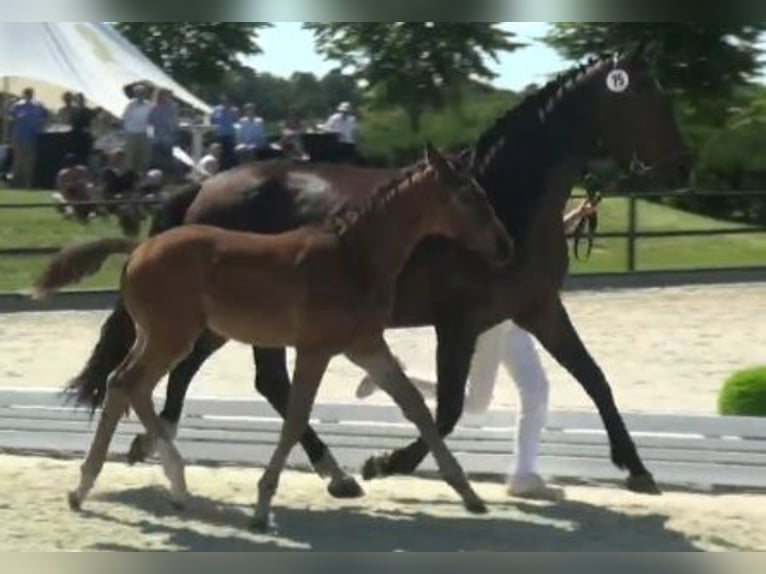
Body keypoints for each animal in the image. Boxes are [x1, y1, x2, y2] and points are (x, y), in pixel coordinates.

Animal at [37, 145, 516, 532]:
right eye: (466, 196)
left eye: (483, 192)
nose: (504, 245)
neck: (353, 257)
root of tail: (139, 248)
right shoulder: (316, 349)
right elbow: (295, 417)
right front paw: (264, 506)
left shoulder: (365, 345)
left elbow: (415, 406)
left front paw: (468, 493)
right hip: (174, 336)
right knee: (130, 383)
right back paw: (154, 480)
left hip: (161, 335)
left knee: (126, 385)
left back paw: (108, 486)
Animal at [60, 47, 692, 500]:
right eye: (650, 98)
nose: (683, 166)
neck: (504, 197)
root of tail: (204, 185)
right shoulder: (457, 321)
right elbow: (447, 407)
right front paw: (387, 462)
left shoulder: (538, 308)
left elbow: (594, 378)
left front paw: (637, 468)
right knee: (240, 379)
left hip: (231, 319)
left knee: (216, 374)